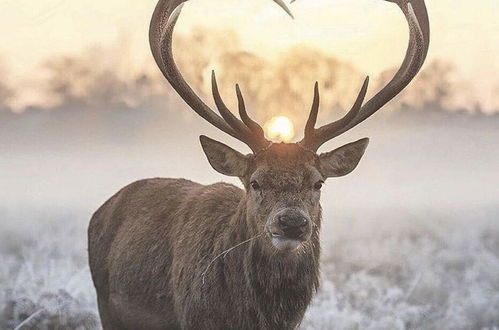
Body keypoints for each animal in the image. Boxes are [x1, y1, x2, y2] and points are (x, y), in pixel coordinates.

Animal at [89, 0, 430, 328]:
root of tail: (103, 208)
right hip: (105, 303)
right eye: (255, 182)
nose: (291, 222)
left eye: (318, 182)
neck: (251, 317)